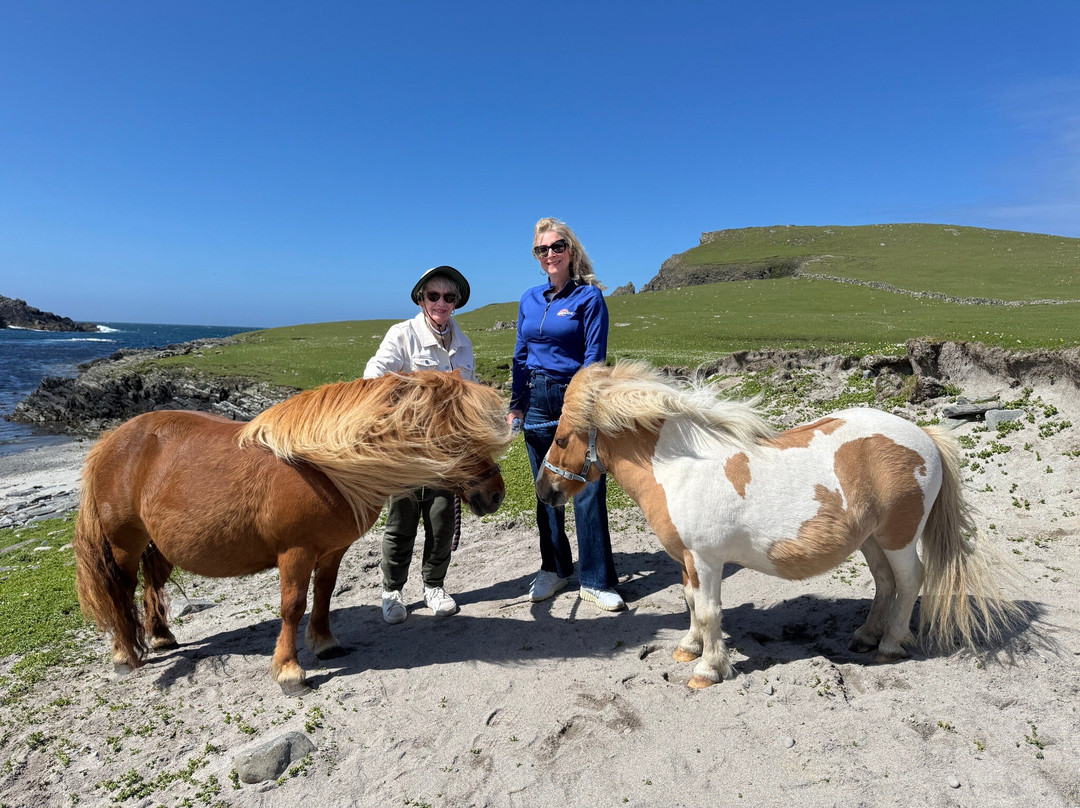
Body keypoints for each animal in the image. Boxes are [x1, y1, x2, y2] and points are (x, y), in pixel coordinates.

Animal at [74, 370, 512, 691]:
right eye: (457, 436)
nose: (495, 494)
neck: (320, 466)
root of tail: (111, 440)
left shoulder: (331, 551)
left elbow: (323, 596)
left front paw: (325, 644)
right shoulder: (295, 552)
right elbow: (292, 606)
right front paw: (289, 671)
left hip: (156, 544)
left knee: (152, 585)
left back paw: (162, 636)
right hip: (124, 544)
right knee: (121, 590)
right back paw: (124, 655)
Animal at [536, 361, 1018, 689]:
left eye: (560, 438)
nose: (544, 490)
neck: (681, 469)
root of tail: (924, 436)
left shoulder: (707, 561)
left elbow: (709, 611)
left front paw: (709, 669)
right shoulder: (687, 561)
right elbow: (691, 603)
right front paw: (689, 648)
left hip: (899, 537)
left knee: (910, 580)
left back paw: (889, 644)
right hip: (871, 539)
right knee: (885, 583)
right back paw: (865, 635)